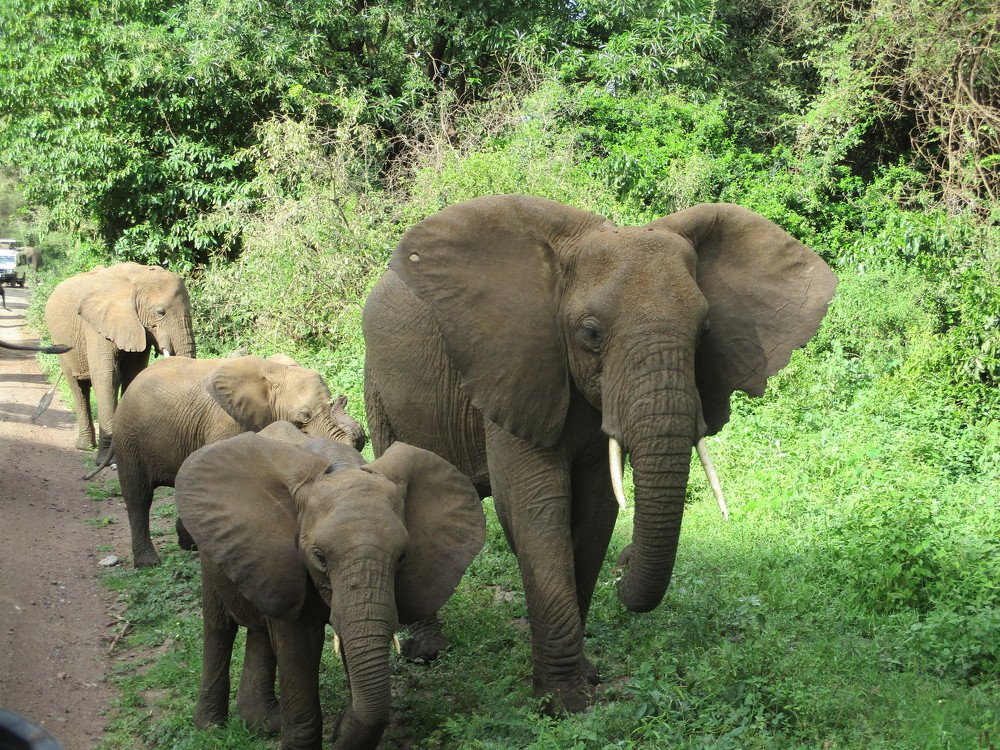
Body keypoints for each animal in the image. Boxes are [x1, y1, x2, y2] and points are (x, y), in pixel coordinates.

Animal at [45, 262, 196, 462]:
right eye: (160, 312)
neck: (139, 277)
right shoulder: (96, 326)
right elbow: (107, 378)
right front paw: (107, 461)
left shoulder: (139, 327)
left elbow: (132, 375)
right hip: (60, 341)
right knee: (78, 387)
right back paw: (85, 447)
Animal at [95, 354, 366, 568]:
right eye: (304, 416)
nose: (342, 399)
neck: (273, 371)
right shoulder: (225, 423)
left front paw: (191, 542)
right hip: (129, 437)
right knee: (138, 496)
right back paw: (149, 563)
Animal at [174, 421, 485, 750]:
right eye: (320, 557)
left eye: (402, 557)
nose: (337, 733)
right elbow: (299, 648)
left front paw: (342, 728)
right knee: (219, 627)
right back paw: (212, 727)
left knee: (261, 631)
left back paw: (264, 725)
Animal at [362, 195, 837, 712]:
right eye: (590, 333)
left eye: (705, 332)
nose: (625, 562)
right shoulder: (517, 364)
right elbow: (535, 507)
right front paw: (563, 702)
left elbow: (596, 509)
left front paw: (585, 677)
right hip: (378, 386)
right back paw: (428, 652)